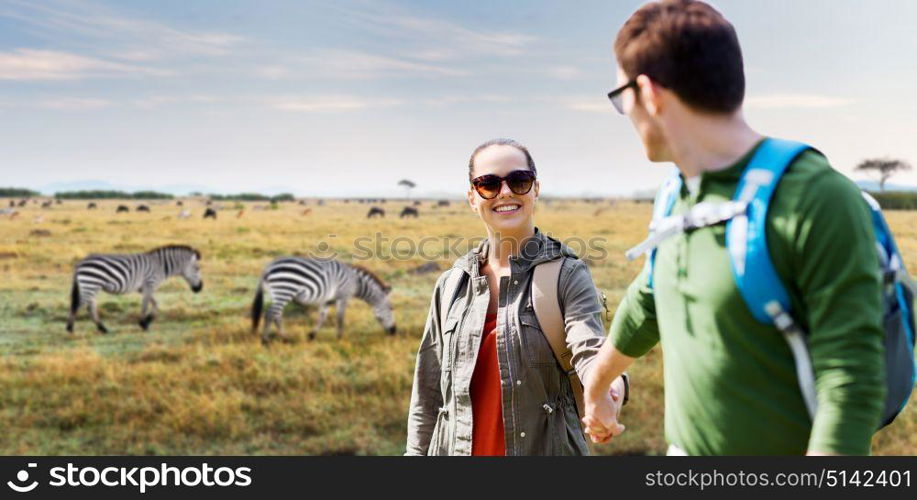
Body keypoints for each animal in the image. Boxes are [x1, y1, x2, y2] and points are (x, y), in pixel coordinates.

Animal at [66, 245, 204, 334]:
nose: (199, 288)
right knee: (78, 305)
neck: (160, 266)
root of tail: (80, 263)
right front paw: (143, 323)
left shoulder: (143, 288)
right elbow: (145, 305)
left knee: (90, 307)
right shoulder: (149, 283)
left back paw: (102, 329)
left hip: (92, 286)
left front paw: (147, 321)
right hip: (91, 284)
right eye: (197, 268)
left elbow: (155, 303)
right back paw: (70, 329)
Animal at [252, 256, 396, 346]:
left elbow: (323, 317)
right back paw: (265, 341)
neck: (356, 283)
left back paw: (285, 338)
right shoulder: (343, 296)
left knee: (276, 314)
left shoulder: (327, 300)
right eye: (391, 308)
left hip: (277, 293)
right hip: (284, 289)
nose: (394, 331)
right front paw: (340, 337)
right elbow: (340, 318)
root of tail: (268, 267)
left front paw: (312, 335)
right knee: (270, 314)